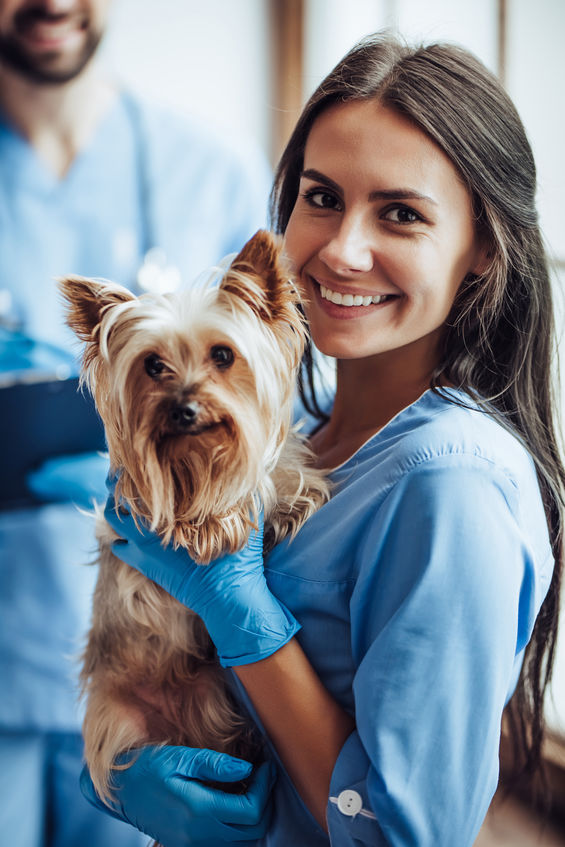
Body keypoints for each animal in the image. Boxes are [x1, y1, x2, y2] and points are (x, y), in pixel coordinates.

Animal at [59, 230, 328, 808]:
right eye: (152, 365)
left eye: (223, 354)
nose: (183, 409)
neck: (199, 457)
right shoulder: (131, 506)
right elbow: (172, 510)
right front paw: (208, 527)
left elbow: (279, 477)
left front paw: (289, 499)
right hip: (123, 720)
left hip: (212, 689)